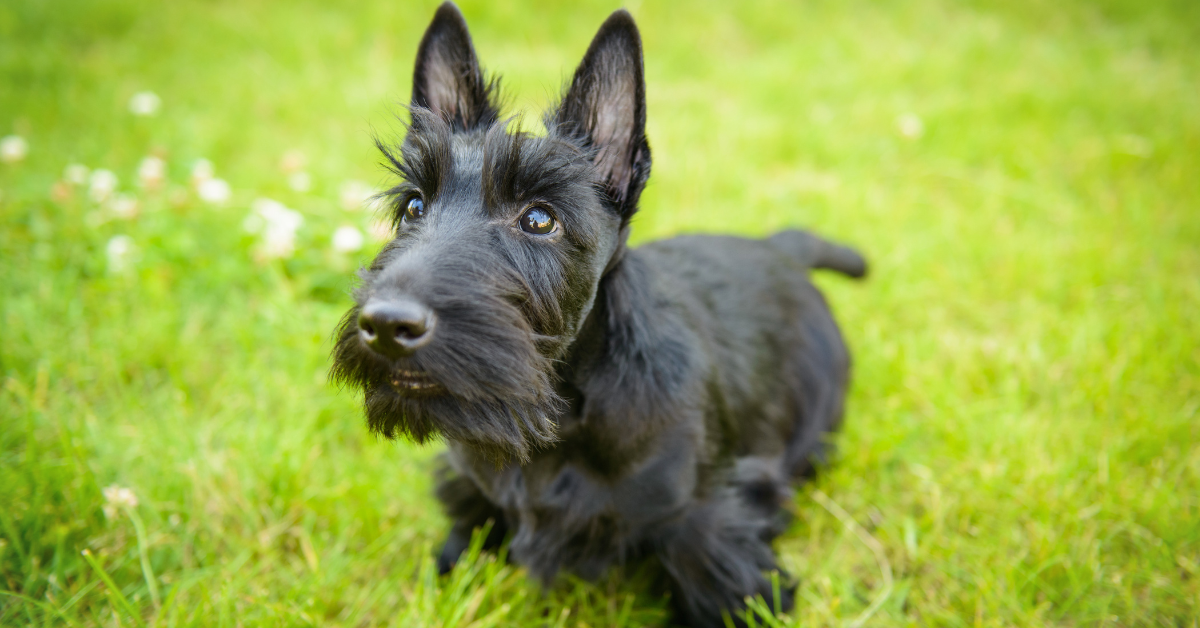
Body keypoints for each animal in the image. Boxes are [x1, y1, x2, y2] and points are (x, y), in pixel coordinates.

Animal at [333, 3, 868, 624]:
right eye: (415, 205)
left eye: (540, 218)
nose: (386, 326)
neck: (560, 420)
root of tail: (781, 248)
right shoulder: (472, 492)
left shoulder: (707, 527)